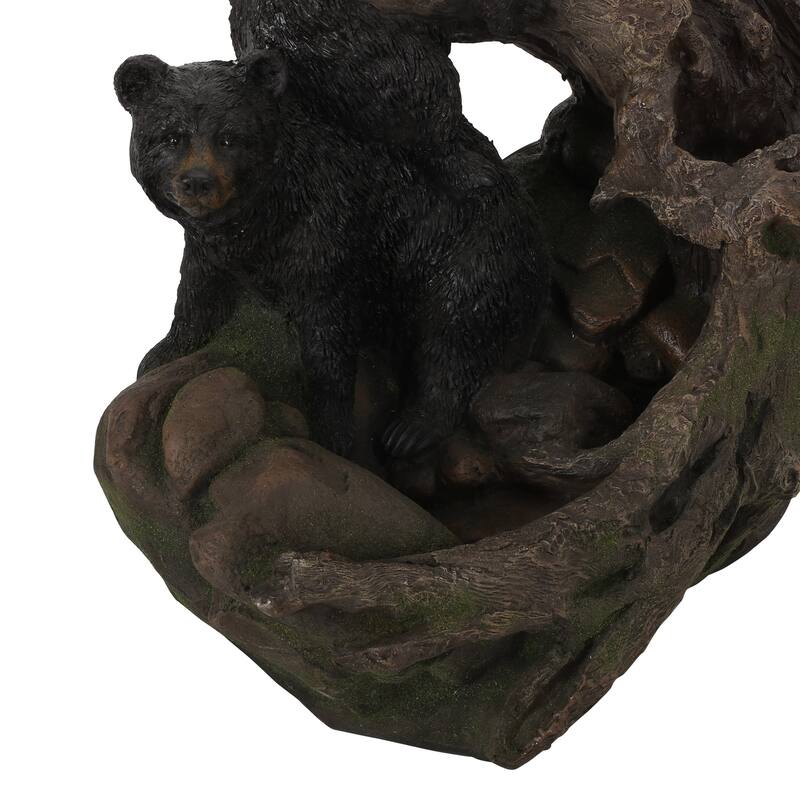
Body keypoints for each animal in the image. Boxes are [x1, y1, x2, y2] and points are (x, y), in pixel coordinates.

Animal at [114, 50, 548, 458]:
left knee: (456, 326)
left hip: (473, 248)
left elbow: (328, 334)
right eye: (172, 136)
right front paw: (160, 353)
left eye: (229, 137)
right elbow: (197, 289)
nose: (197, 182)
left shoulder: (328, 230)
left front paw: (333, 432)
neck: (265, 214)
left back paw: (412, 428)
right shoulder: (211, 246)